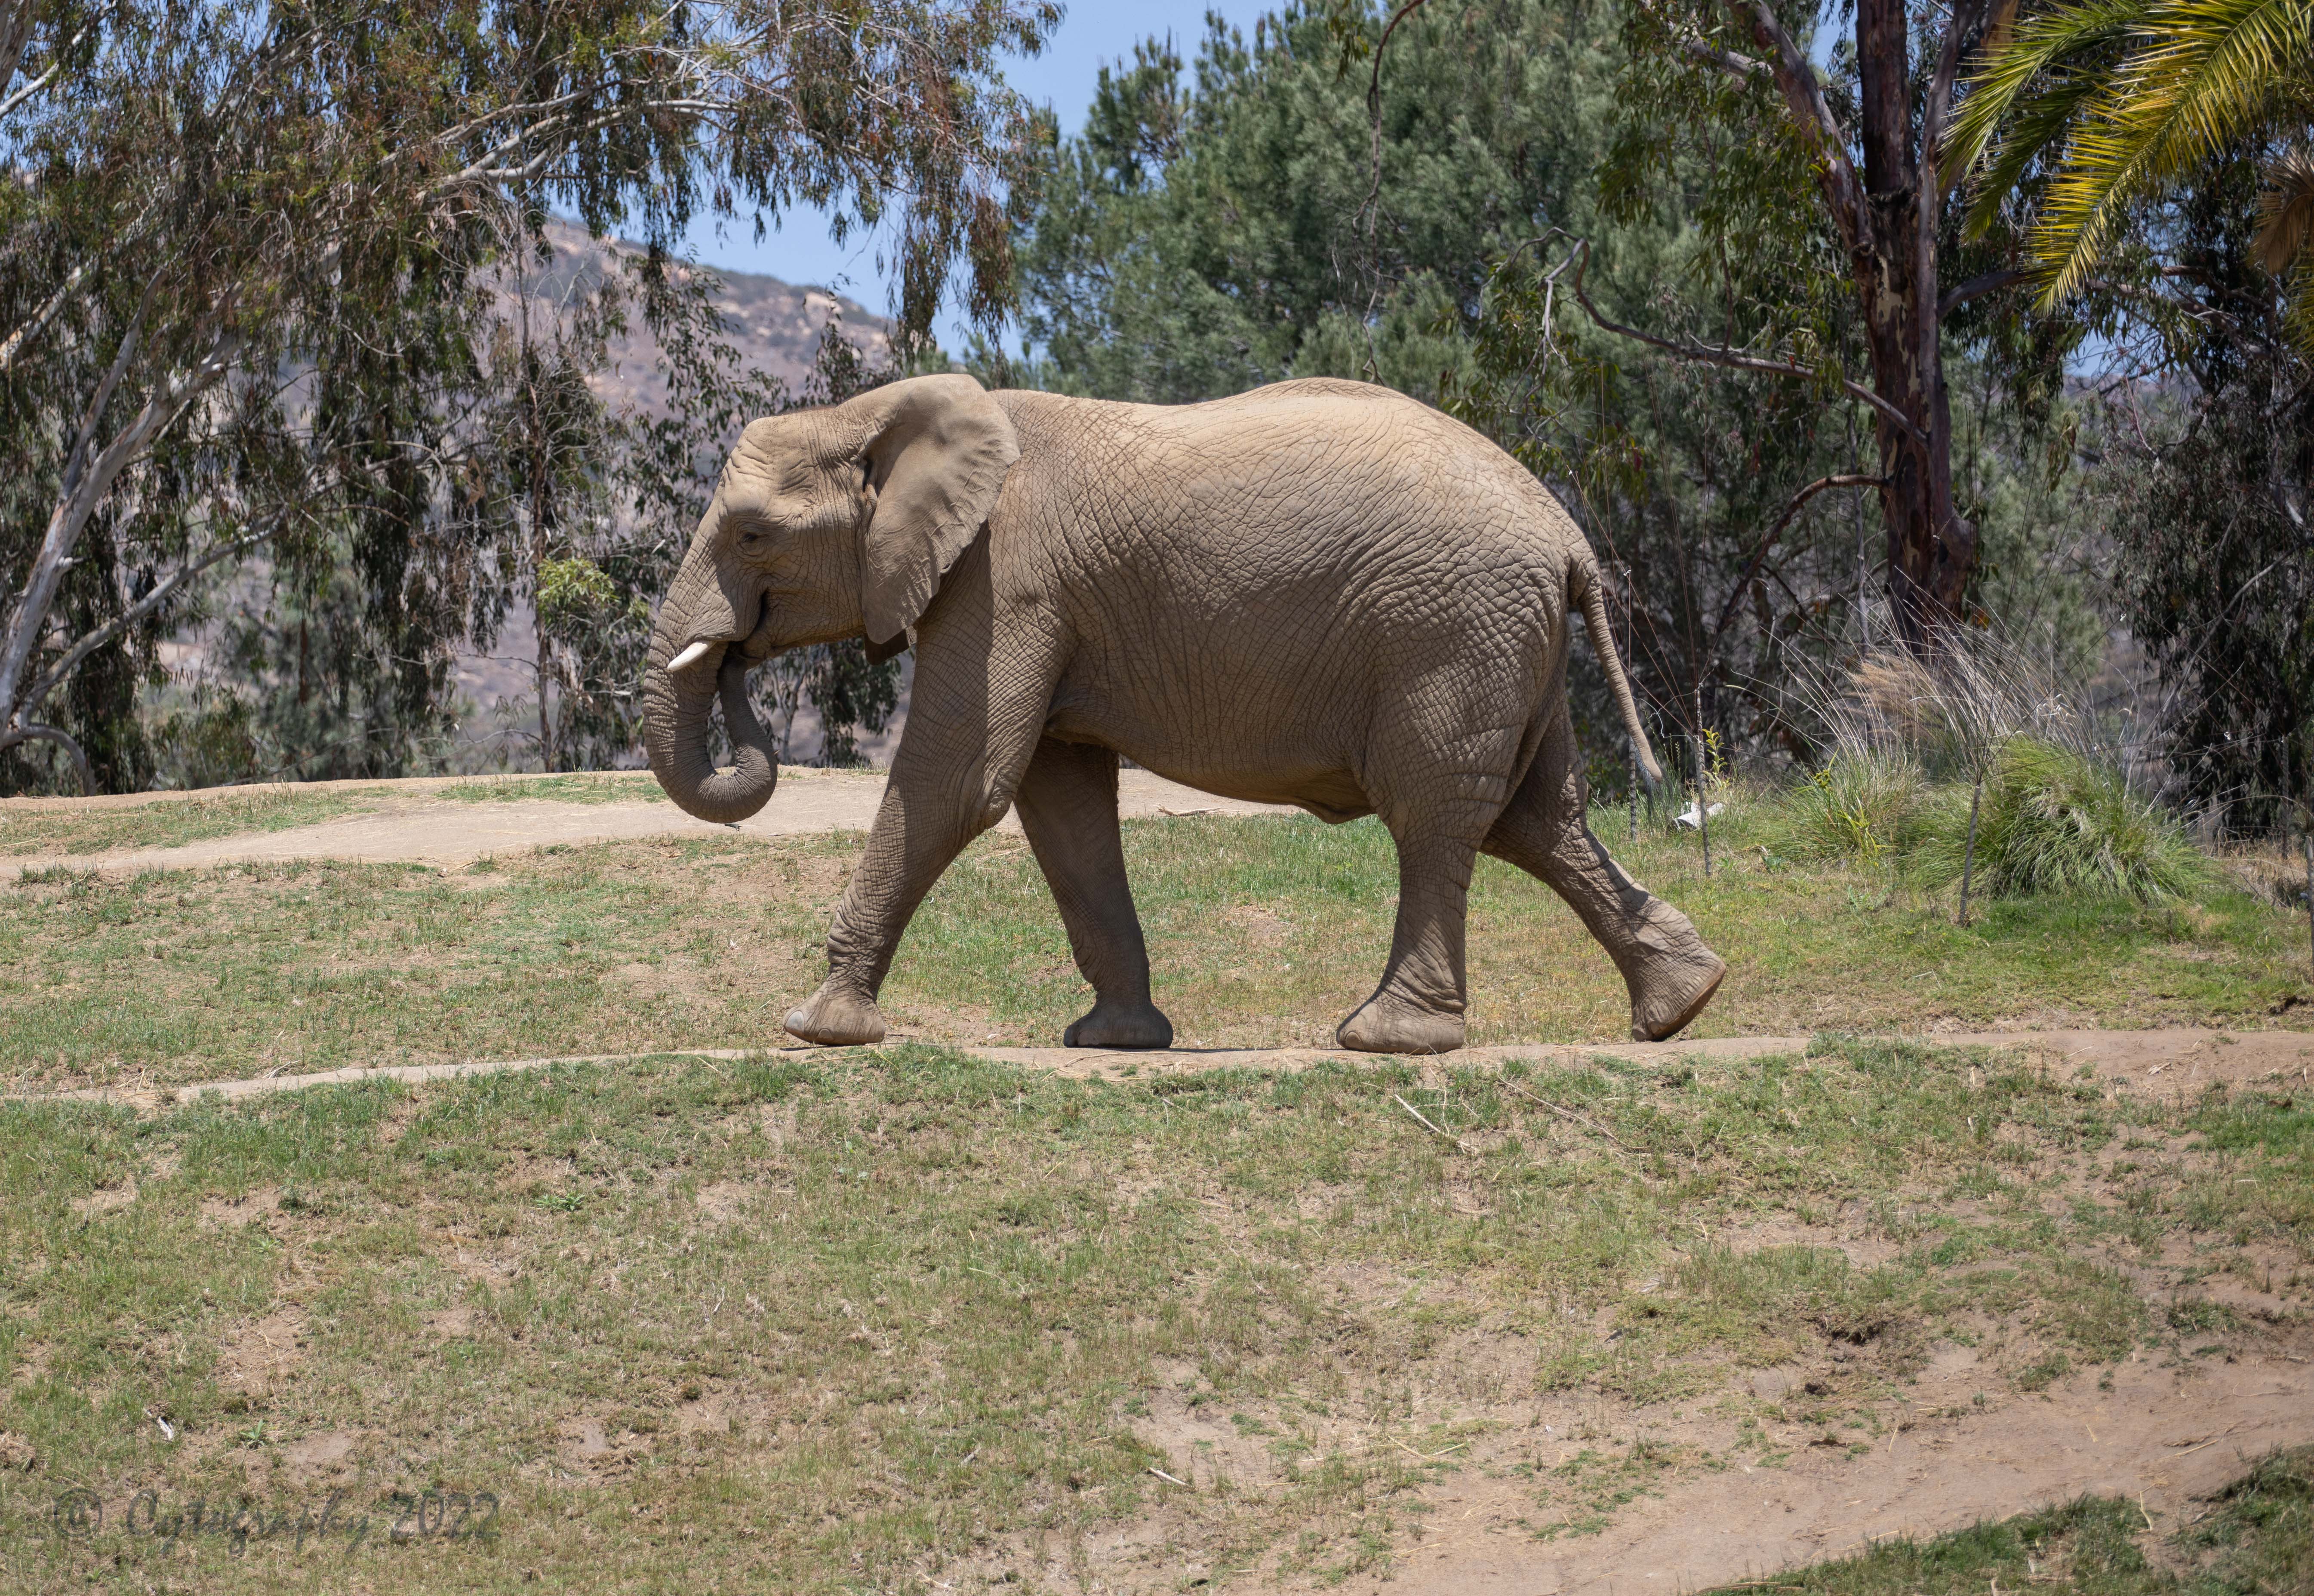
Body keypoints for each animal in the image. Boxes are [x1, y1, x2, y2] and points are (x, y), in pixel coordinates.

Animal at [642, 373, 1726, 1054]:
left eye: (752, 534)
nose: (734, 659)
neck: (880, 410)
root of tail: (1569, 539)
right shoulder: (1048, 602)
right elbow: (1060, 804)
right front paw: (1113, 1042)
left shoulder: (1007, 582)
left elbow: (959, 782)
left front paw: (817, 1027)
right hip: (1503, 642)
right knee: (1534, 818)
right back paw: (1681, 1007)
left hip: (1451, 633)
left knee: (1434, 812)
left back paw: (1386, 1039)